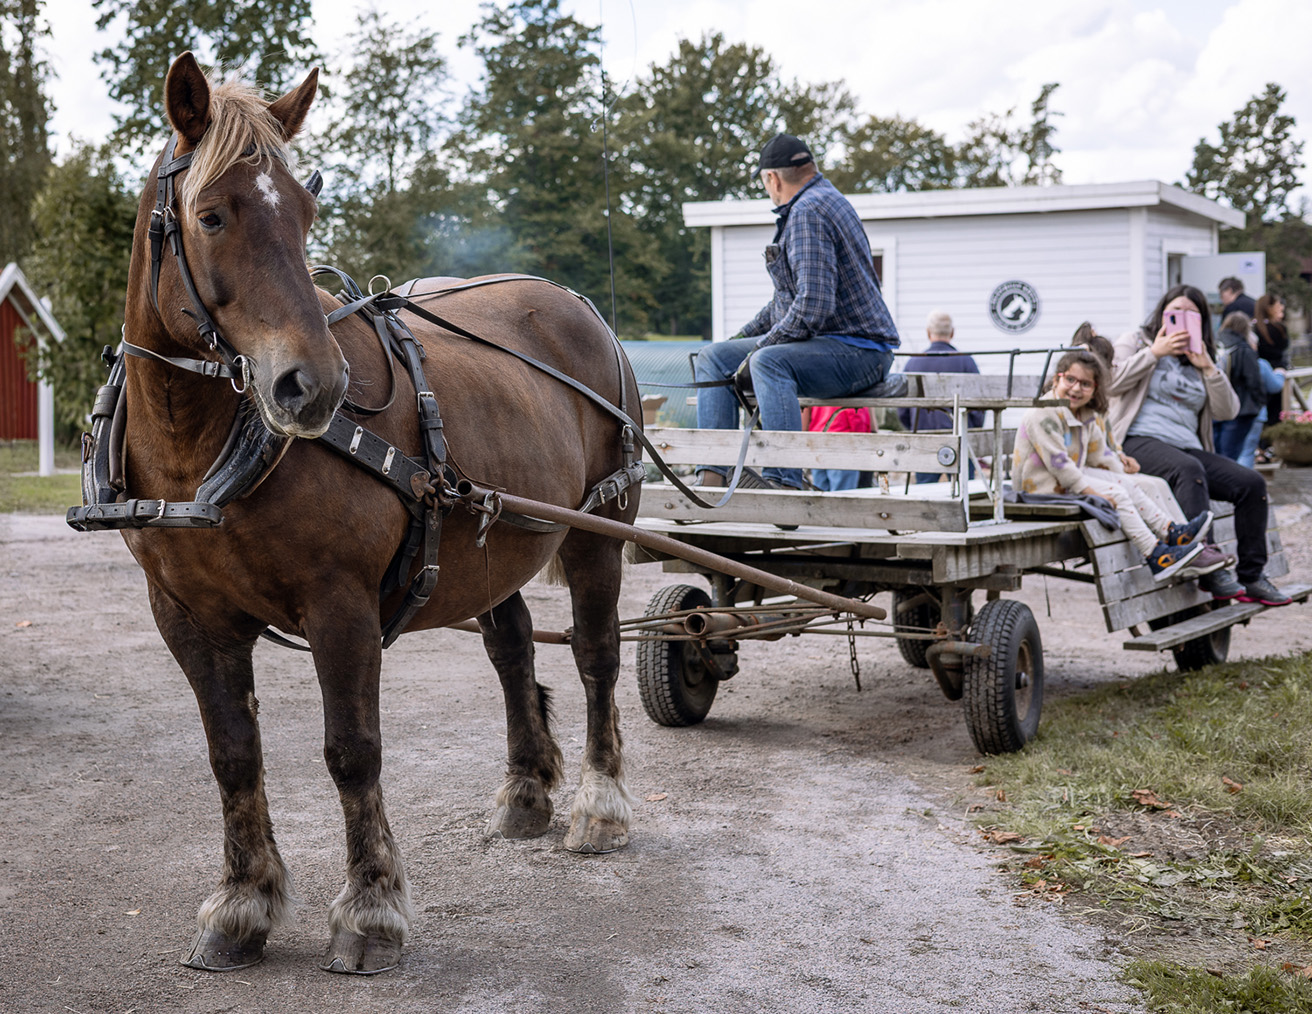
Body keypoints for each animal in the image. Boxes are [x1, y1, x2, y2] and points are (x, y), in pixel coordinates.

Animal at [108, 53, 641, 974]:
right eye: (210, 216)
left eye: (307, 212)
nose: (312, 385)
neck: (200, 451)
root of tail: (576, 305)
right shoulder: (185, 614)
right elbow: (232, 755)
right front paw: (241, 904)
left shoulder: (341, 603)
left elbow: (351, 753)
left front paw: (371, 910)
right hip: (492, 537)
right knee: (510, 649)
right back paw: (526, 789)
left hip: (596, 530)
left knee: (598, 655)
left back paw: (598, 807)